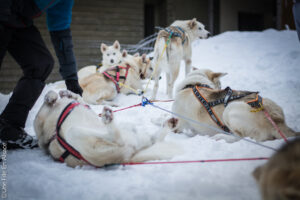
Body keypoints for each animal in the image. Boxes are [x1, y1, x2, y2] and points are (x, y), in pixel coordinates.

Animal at [34, 90, 179, 167]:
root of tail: (126, 158)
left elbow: (79, 98)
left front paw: (66, 93)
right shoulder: (40, 126)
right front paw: (53, 96)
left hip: (132, 131)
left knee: (154, 139)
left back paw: (169, 124)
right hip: (75, 133)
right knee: (117, 138)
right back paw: (108, 118)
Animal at [168, 69, 298, 142]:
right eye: (220, 85)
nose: (221, 87)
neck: (195, 84)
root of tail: (278, 121)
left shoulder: (179, 124)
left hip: (230, 110)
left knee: (242, 138)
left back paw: (220, 137)